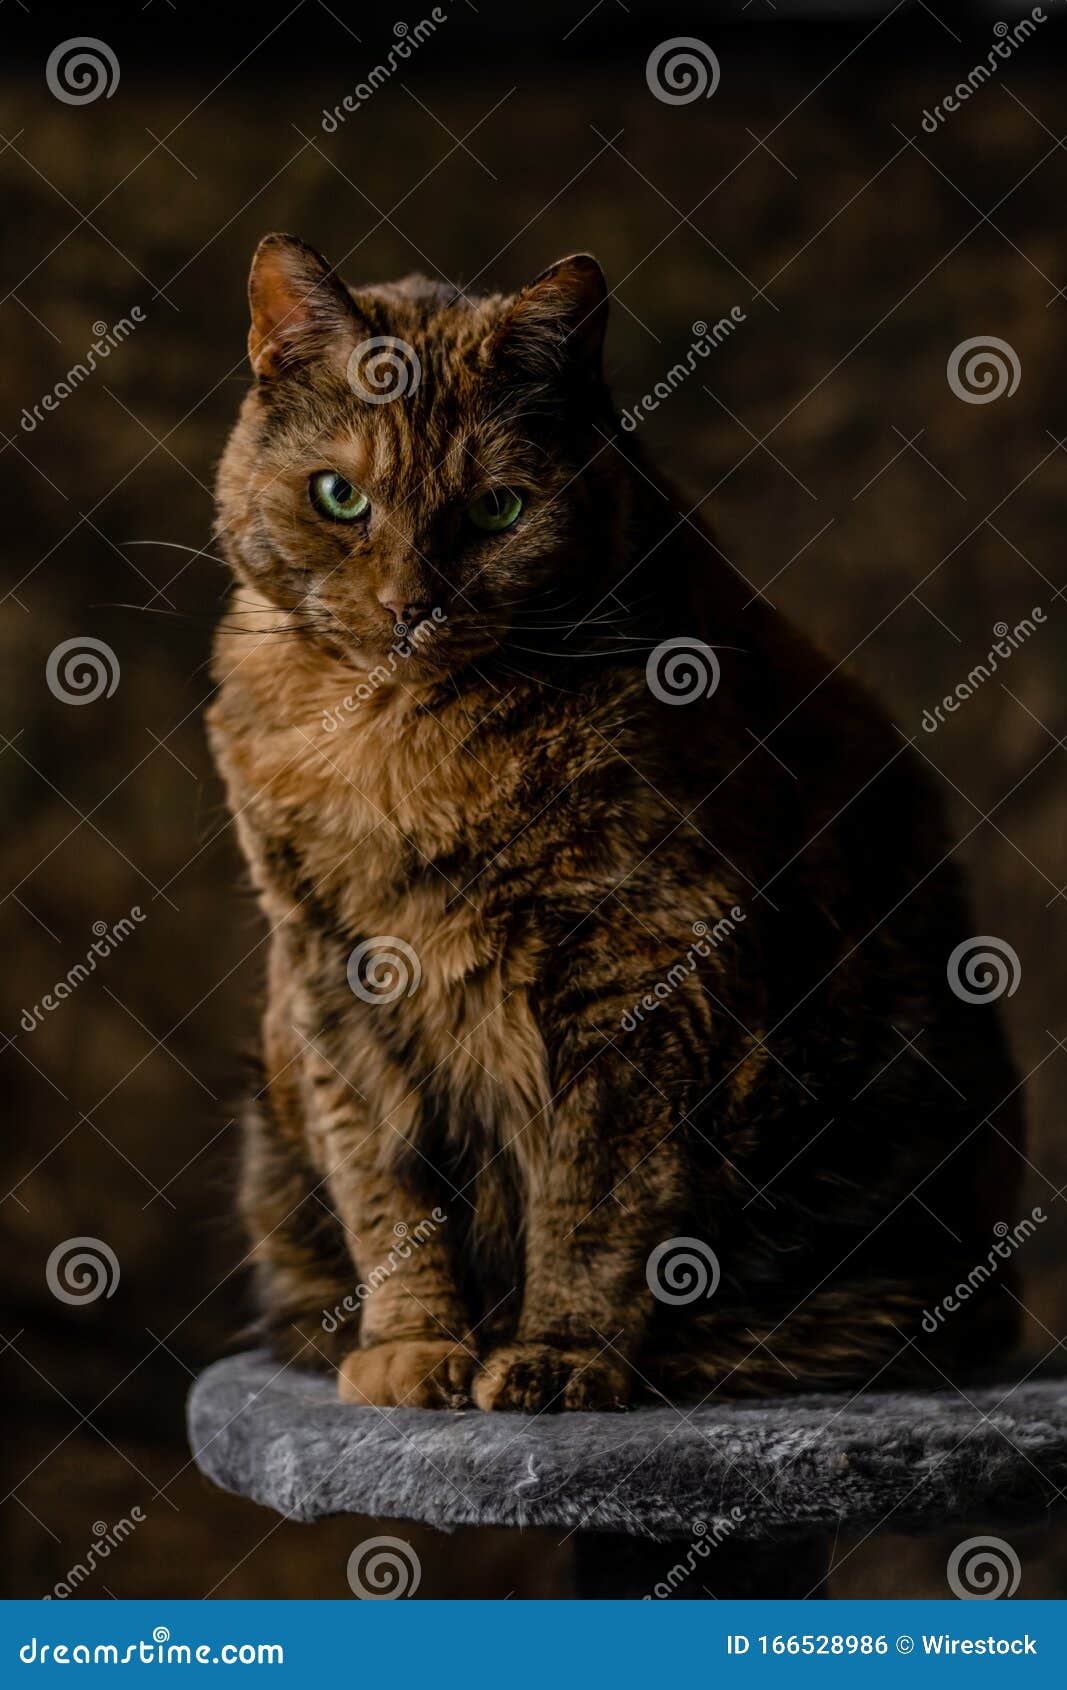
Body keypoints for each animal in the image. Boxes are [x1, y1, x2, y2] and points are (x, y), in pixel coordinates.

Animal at [204, 228, 1021, 1412]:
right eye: (338, 496)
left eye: (496, 509)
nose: (412, 603)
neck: (401, 745)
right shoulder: (334, 976)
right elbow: (385, 1188)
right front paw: (415, 1347)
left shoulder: (643, 967)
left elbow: (598, 1199)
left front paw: (560, 1358)